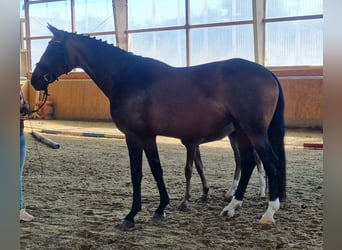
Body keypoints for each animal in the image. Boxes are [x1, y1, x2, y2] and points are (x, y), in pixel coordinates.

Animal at [30, 24, 286, 228]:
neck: (127, 76)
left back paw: (268, 213)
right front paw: (161, 208)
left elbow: (137, 173)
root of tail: (268, 73)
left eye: (52, 48)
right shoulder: (148, 136)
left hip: (253, 131)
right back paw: (232, 207)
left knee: (269, 162)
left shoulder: (133, 136)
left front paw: (131, 215)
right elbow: (156, 169)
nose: (34, 79)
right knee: (249, 163)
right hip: (241, 132)